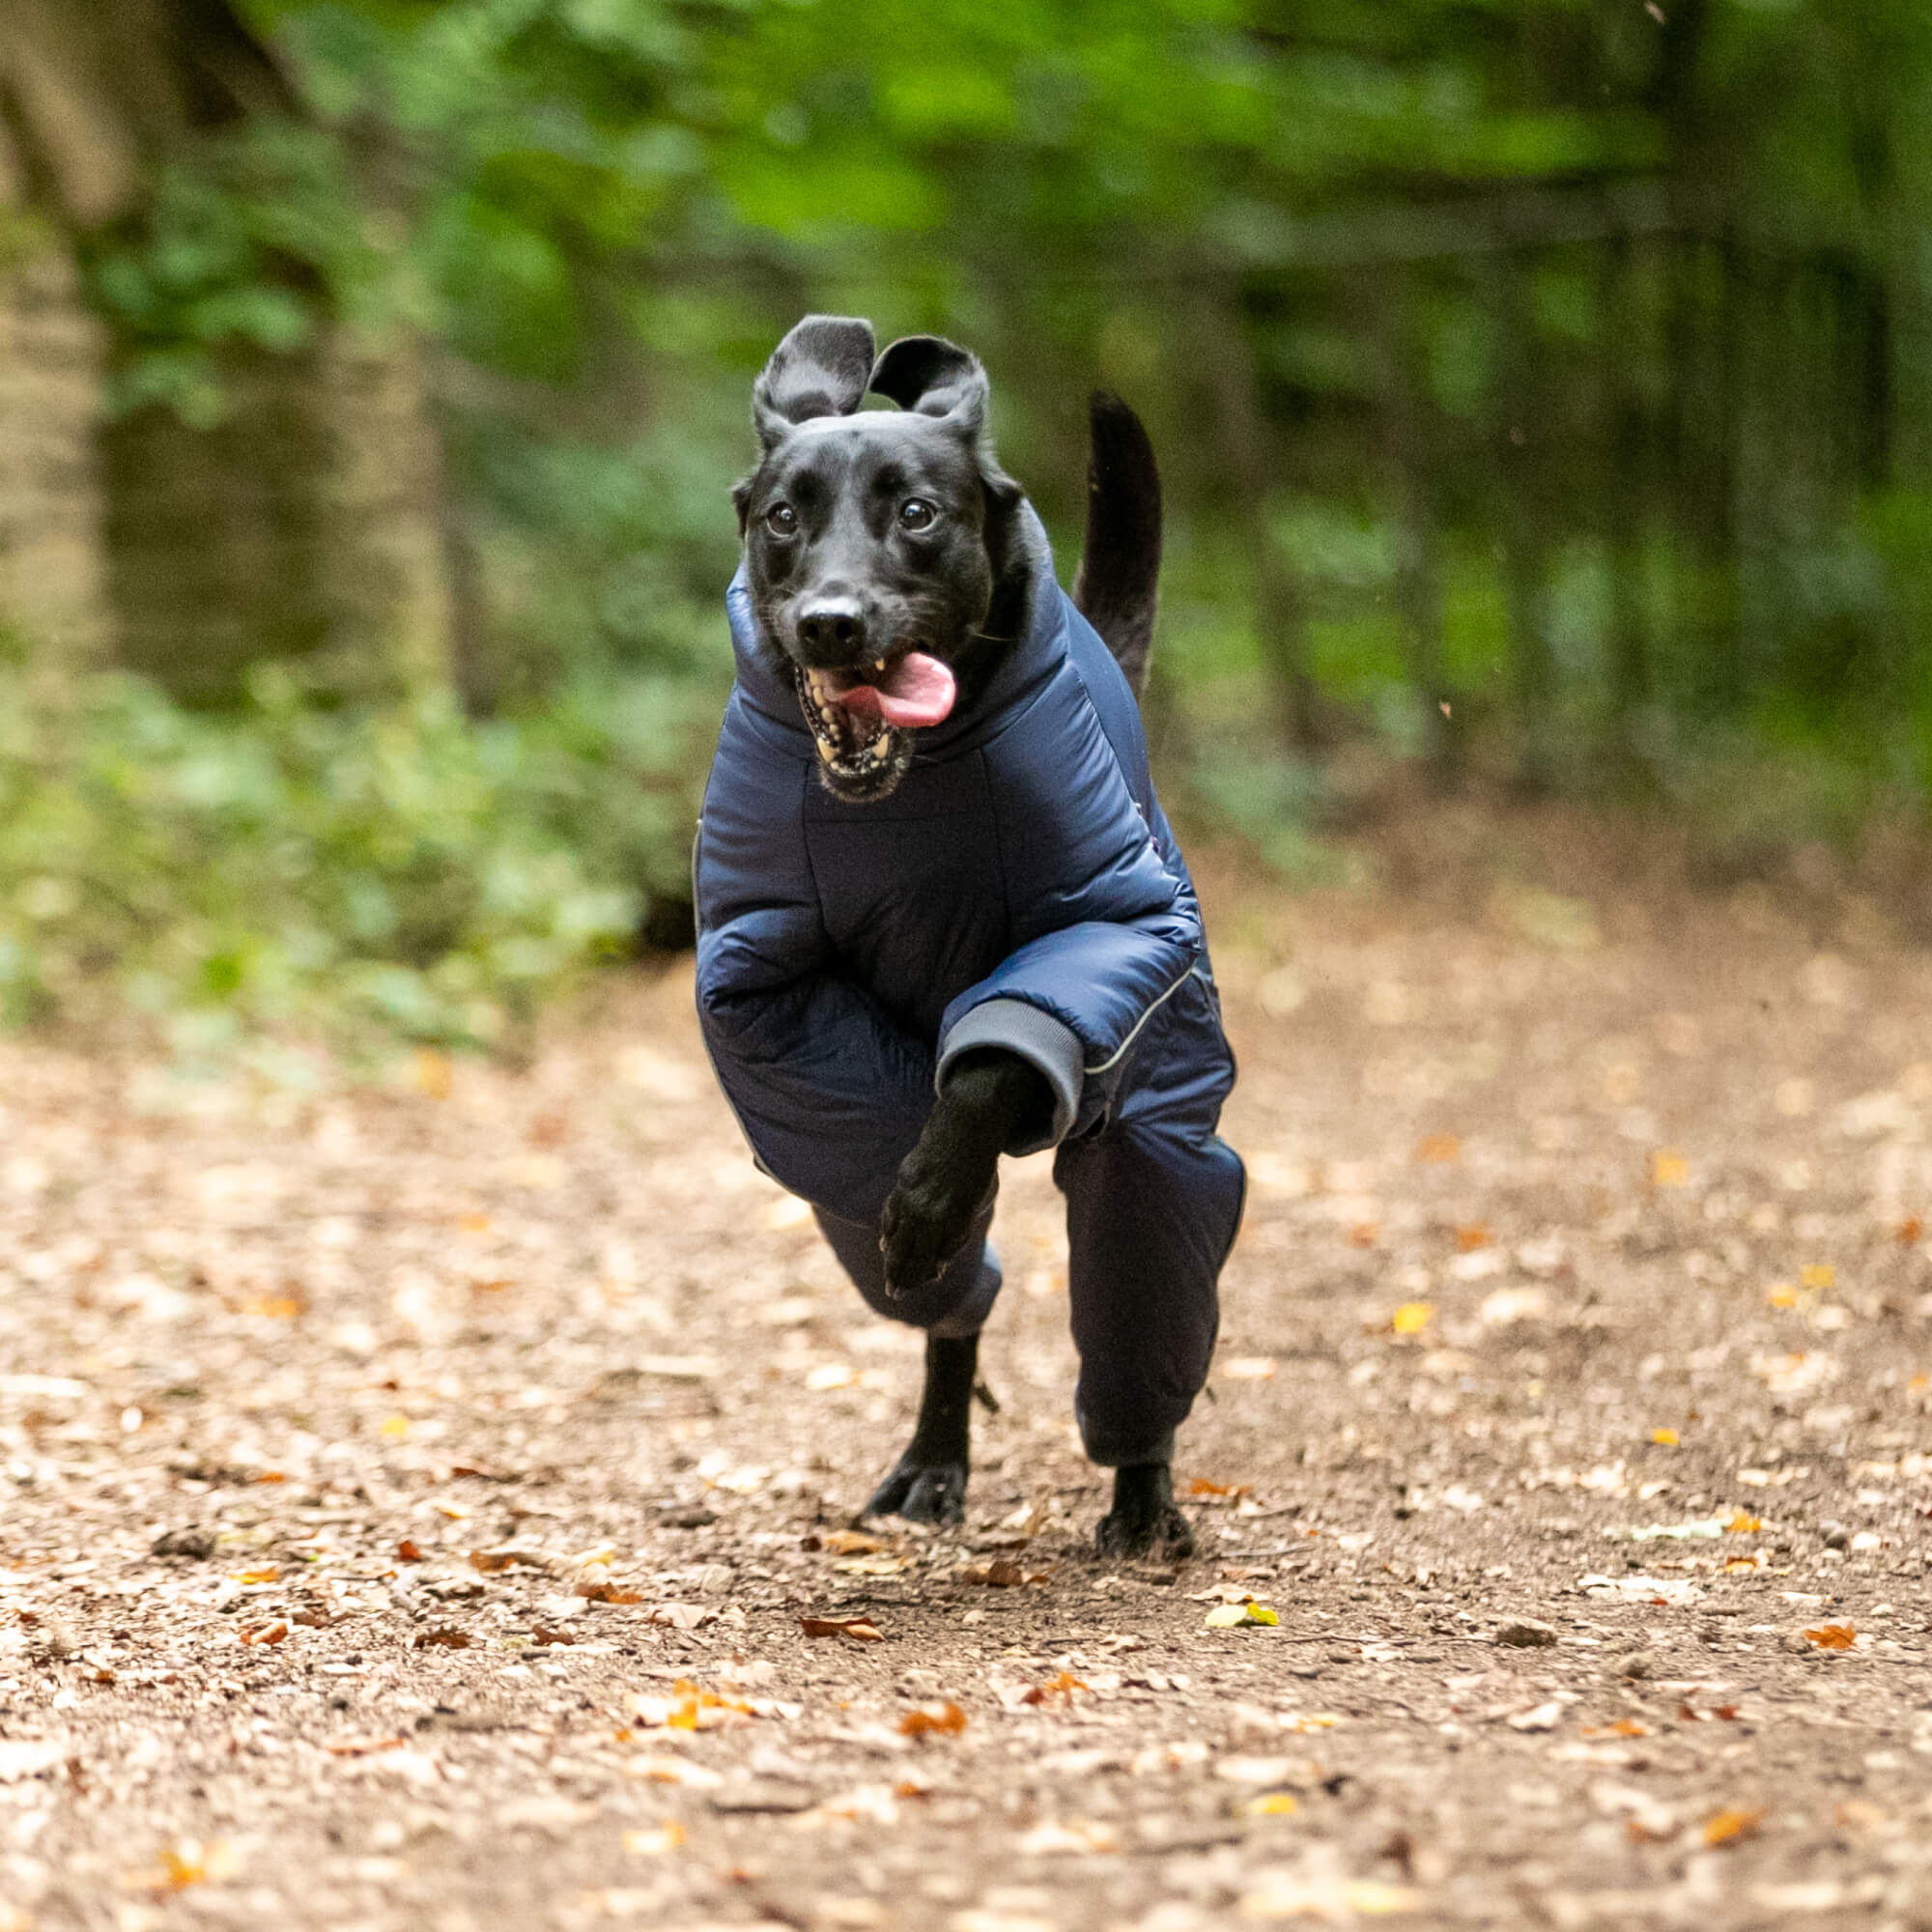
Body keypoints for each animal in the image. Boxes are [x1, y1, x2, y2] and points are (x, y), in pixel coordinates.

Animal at [696, 313, 1236, 1553]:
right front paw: (927, 1203)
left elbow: (989, 1062)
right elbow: (866, 1103)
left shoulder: (1101, 931)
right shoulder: (762, 983)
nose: (830, 621)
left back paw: (1143, 1488)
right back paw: (933, 1455)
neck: (905, 802)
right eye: (783, 515)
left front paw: (938, 1185)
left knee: (1143, 1255)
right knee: (951, 1312)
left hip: (1160, 1111)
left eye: (916, 511)